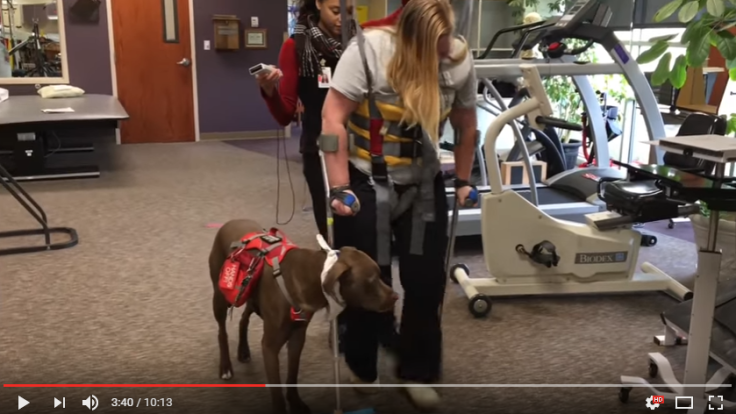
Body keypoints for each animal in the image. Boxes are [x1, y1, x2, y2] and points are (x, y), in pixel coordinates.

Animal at [210, 218, 400, 412]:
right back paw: (225, 367)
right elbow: (276, 389)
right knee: (221, 331)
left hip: (250, 295)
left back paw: (243, 351)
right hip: (220, 297)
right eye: (371, 280)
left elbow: (292, 375)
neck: (310, 277)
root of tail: (231, 222)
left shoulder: (297, 336)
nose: (396, 296)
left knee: (244, 318)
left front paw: (296, 403)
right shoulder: (270, 346)